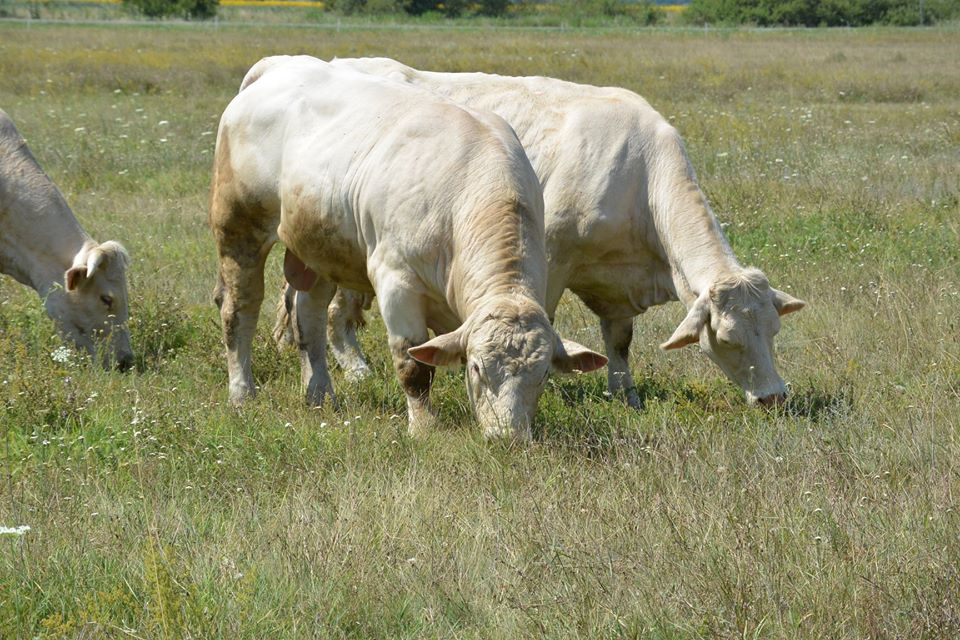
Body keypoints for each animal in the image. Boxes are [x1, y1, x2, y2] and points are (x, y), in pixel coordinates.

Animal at [211, 56, 604, 440]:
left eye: (543, 375)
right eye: (477, 368)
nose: (507, 436)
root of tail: (278, 66)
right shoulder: (396, 281)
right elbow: (412, 363)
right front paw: (423, 427)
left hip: (319, 249)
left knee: (310, 317)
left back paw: (320, 395)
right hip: (239, 227)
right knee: (239, 310)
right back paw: (242, 393)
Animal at [276, 55, 804, 404]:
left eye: (774, 330)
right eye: (729, 339)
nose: (775, 397)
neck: (640, 176)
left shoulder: (615, 282)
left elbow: (619, 341)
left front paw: (625, 396)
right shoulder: (551, 256)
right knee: (328, 309)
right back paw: (353, 370)